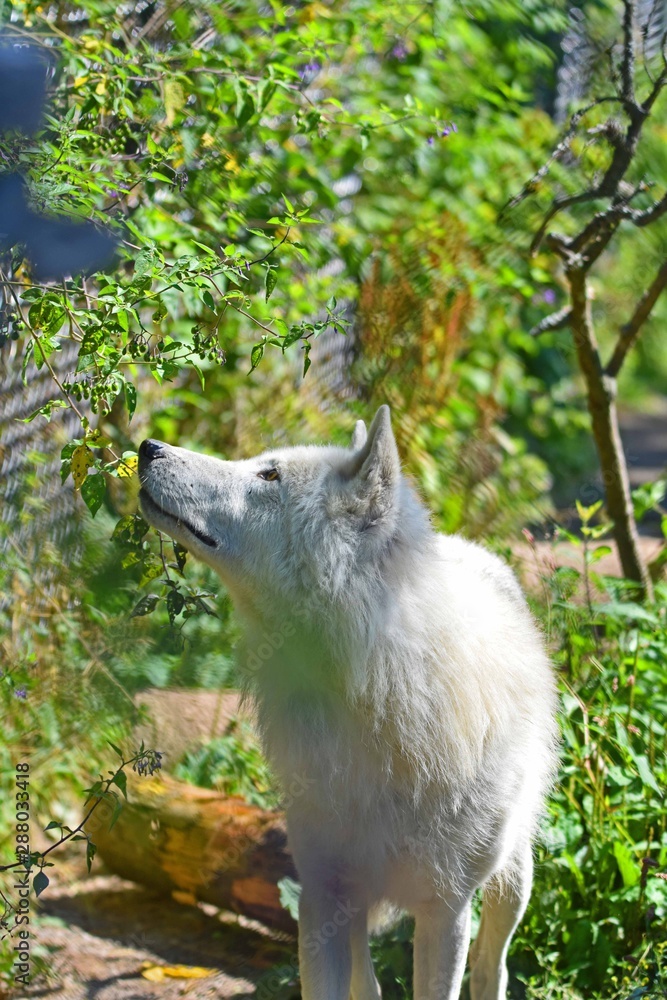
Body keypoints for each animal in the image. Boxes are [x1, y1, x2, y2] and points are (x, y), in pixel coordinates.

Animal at [138, 406, 559, 1000]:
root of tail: (467, 546)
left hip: (512, 880)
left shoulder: (446, 911)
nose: (147, 447)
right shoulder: (323, 895)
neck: (375, 699)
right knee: (370, 984)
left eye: (269, 475)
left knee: (491, 966)